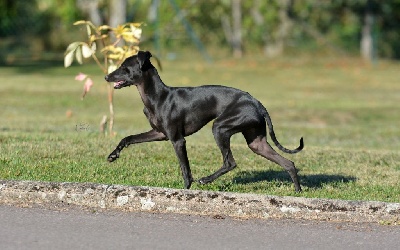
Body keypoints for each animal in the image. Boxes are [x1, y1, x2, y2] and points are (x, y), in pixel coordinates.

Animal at [104, 50, 304, 191]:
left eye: (124, 67)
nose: (106, 77)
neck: (158, 96)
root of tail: (257, 103)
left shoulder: (178, 140)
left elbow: (185, 169)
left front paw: (186, 188)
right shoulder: (159, 133)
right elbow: (128, 138)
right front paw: (113, 155)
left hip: (220, 128)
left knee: (230, 162)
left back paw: (206, 179)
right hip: (256, 142)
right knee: (288, 163)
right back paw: (297, 191)